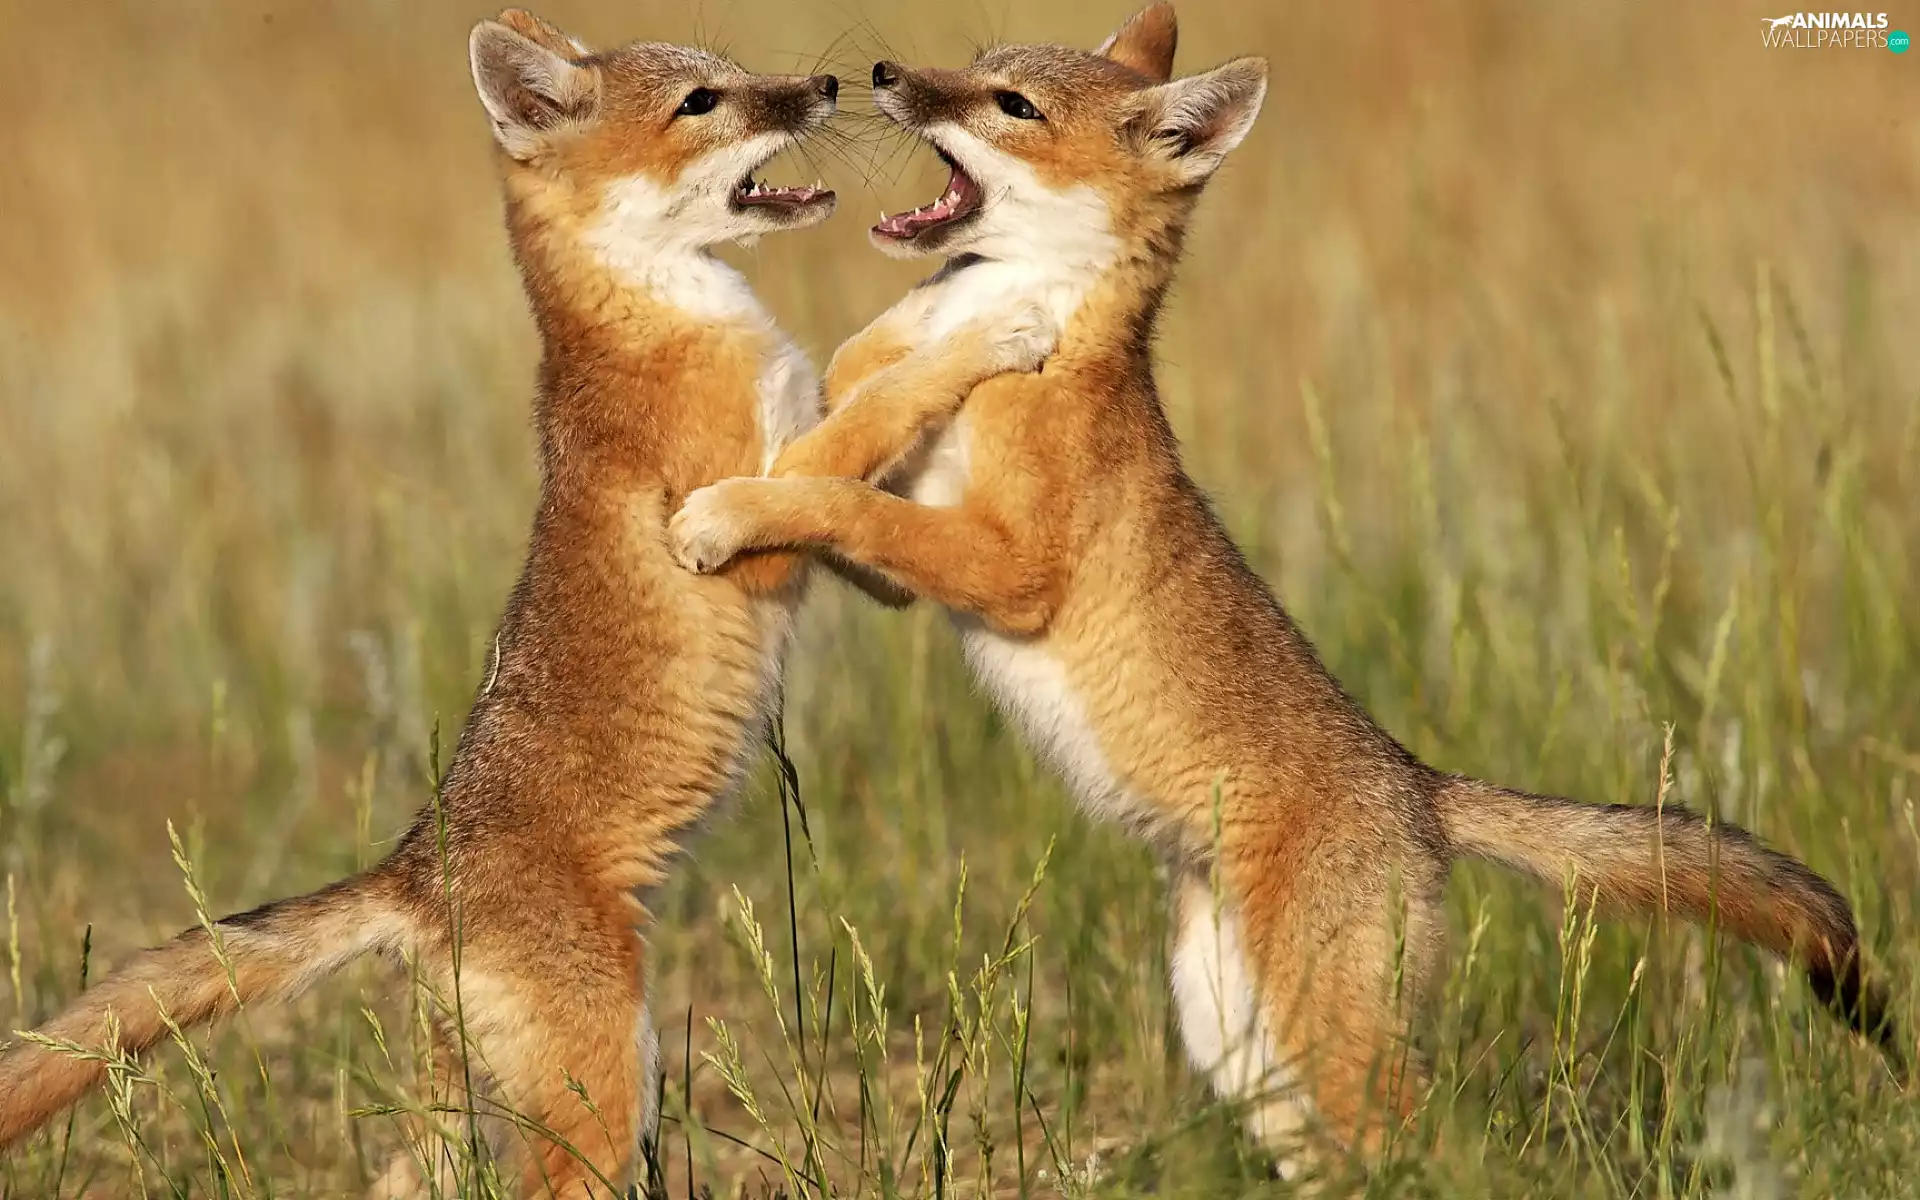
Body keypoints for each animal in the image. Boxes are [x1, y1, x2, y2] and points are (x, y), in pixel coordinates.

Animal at [0, 10, 1049, 1196]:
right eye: (702, 102)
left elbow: (867, 472)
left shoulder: (809, 517)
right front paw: (991, 336)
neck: (663, 320)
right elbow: (873, 412)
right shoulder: (743, 518)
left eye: (735, 74)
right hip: (608, 1094)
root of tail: (416, 873)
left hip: (482, 1109)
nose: (824, 85)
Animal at [666, 1, 1906, 1174]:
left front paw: (726, 512)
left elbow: (849, 493)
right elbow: (849, 450)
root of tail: (1420, 788)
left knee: (1443, 1152)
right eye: (971, 69)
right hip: (1241, 1049)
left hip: (1326, 1048)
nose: (883, 74)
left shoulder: (1010, 567)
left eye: (1011, 104)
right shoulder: (913, 561)